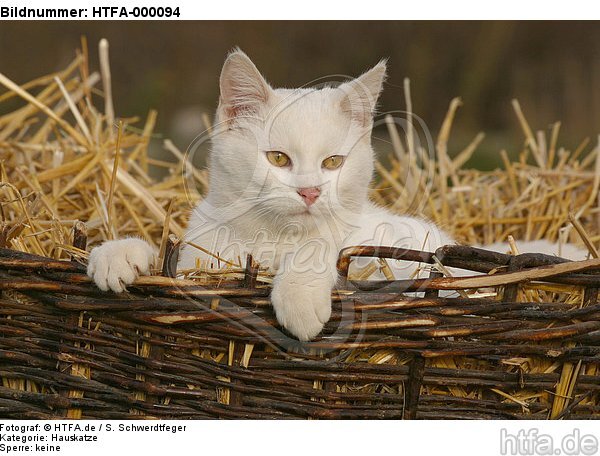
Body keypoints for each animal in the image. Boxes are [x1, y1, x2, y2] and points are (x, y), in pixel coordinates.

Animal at [86, 50, 588, 342]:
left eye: (332, 163)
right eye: (278, 158)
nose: (309, 191)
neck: (272, 237)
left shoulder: (369, 251)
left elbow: (328, 253)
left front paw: (300, 296)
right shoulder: (199, 258)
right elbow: (166, 256)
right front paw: (117, 254)